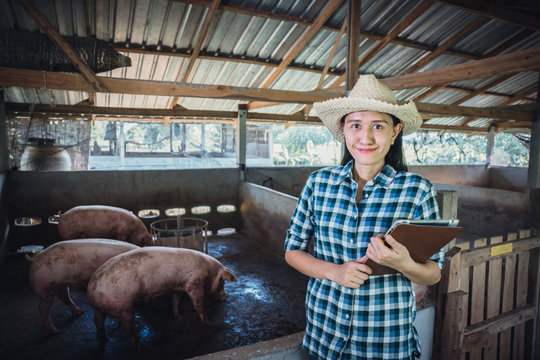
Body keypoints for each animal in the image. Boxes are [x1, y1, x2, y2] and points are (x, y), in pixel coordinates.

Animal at [87, 248, 237, 346]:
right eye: (223, 282)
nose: (226, 297)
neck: (210, 272)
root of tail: (93, 286)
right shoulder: (194, 283)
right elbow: (198, 303)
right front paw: (209, 323)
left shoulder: (179, 287)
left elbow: (175, 299)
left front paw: (178, 316)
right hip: (124, 305)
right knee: (127, 326)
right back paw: (138, 345)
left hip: (100, 308)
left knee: (97, 321)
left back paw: (103, 340)